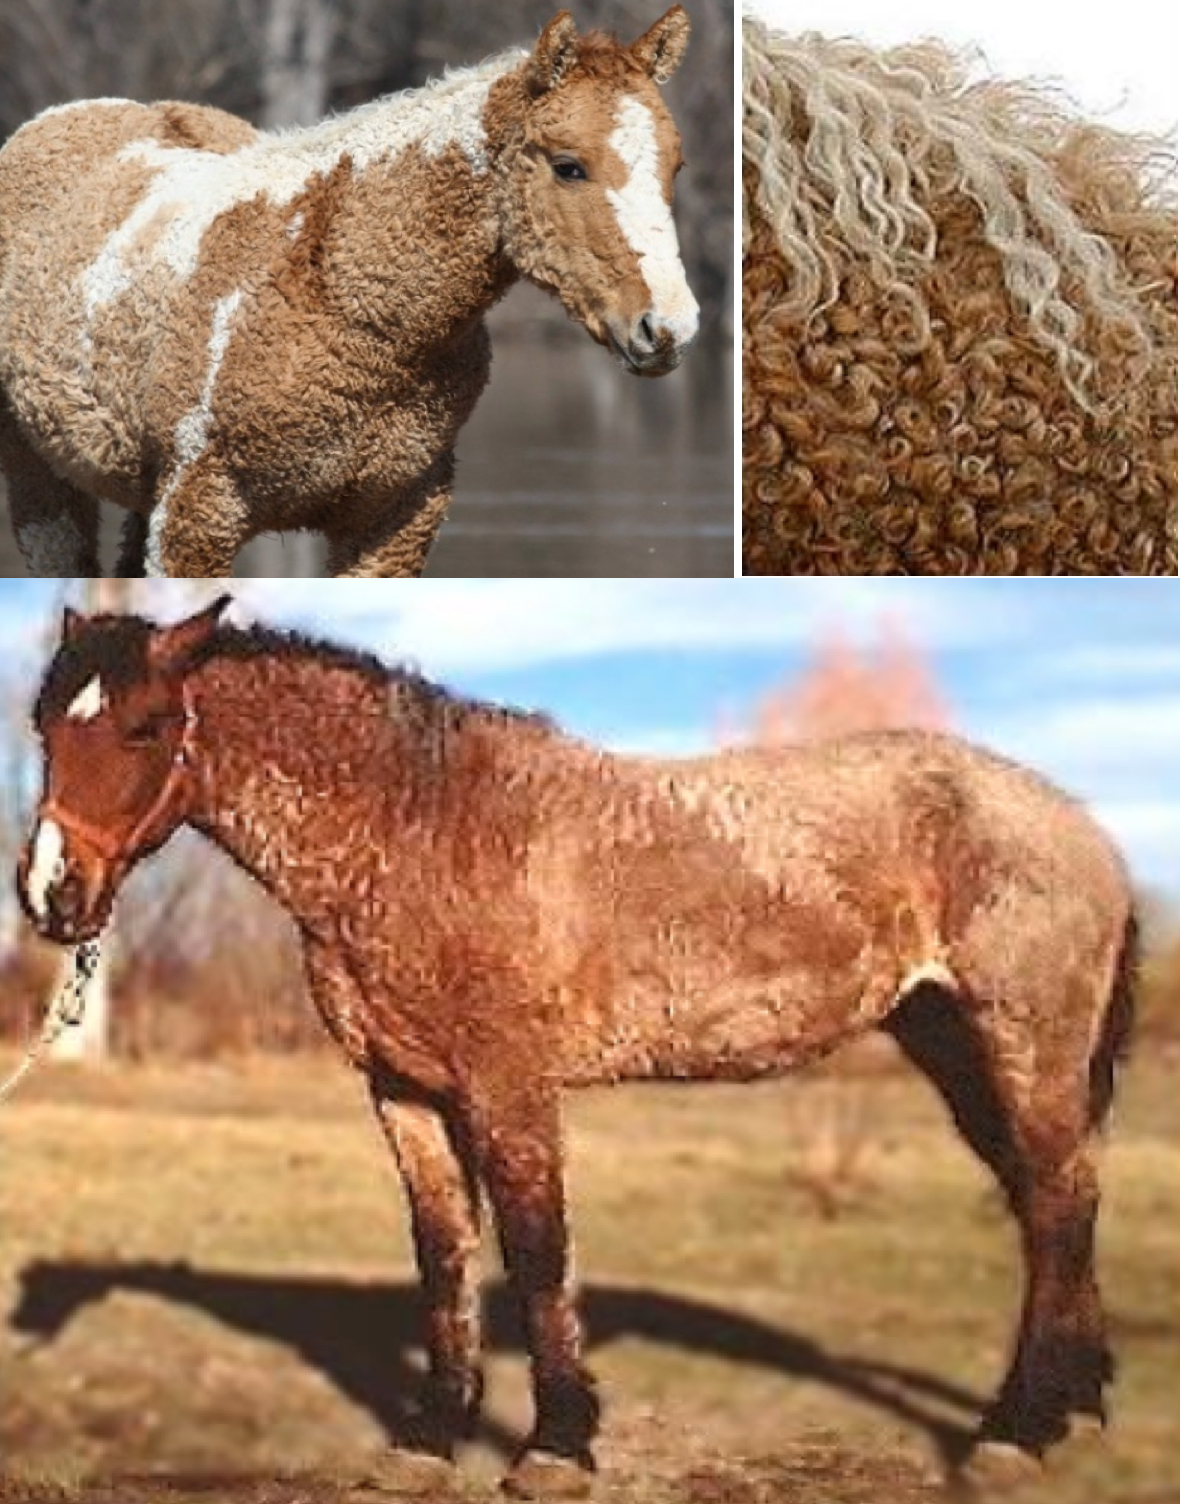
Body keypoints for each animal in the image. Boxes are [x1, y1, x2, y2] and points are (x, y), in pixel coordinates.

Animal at [0, 9, 698, 579]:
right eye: (567, 165)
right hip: (42, 479)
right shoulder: (196, 514)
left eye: (675, 166)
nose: (668, 328)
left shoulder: (393, 520)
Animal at [18, 597, 1137, 1495]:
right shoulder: (403, 1091)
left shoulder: (507, 1087)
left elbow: (536, 1249)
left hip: (1022, 1045)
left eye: (145, 725)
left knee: (1055, 1203)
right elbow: (443, 1256)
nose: (50, 894)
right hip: (953, 1048)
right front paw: (430, 1437)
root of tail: (1082, 828)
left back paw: (1014, 1431)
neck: (417, 826)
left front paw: (555, 1445)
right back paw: (1072, 1407)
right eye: (43, 725)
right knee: (1056, 1203)